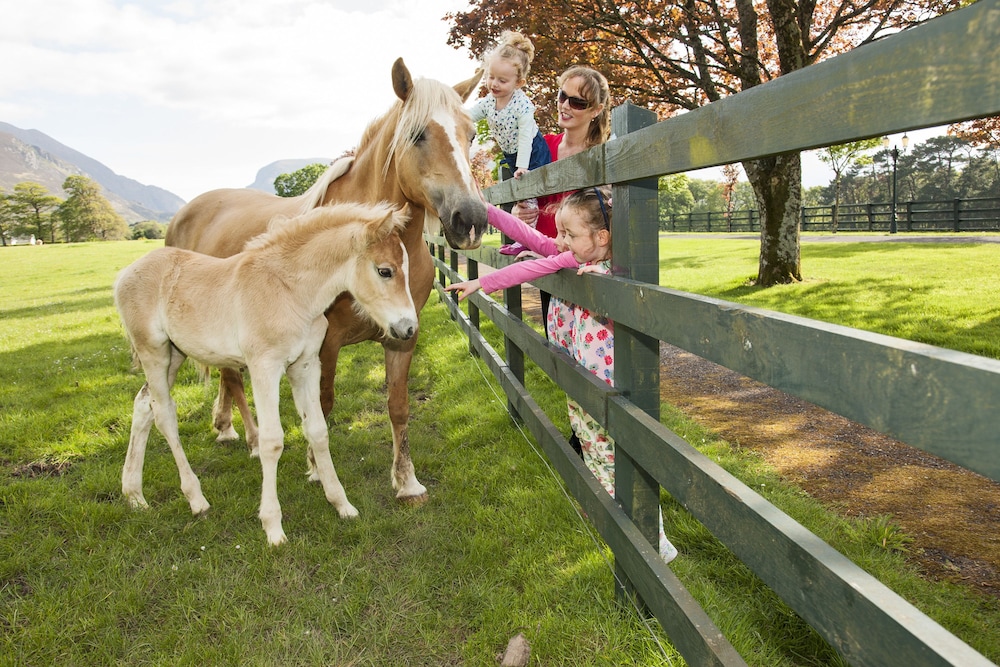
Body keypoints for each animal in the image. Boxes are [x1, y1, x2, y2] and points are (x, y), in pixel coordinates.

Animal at [115, 201, 416, 544]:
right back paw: (196, 498)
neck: (290, 292)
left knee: (143, 404)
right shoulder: (265, 368)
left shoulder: (306, 366)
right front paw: (273, 527)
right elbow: (272, 441)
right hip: (153, 351)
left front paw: (341, 504)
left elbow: (318, 431)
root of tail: (125, 273)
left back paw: (134, 495)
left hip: (174, 353)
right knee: (164, 413)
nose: (408, 328)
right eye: (385, 271)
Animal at [165, 58, 488, 506]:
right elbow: (322, 404)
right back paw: (249, 438)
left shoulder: (403, 338)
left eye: (471, 134)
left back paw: (226, 425)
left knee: (228, 375)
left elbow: (399, 406)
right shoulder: (323, 345)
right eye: (417, 134)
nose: (470, 219)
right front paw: (317, 470)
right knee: (233, 380)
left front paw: (407, 482)